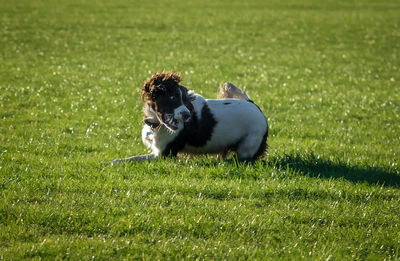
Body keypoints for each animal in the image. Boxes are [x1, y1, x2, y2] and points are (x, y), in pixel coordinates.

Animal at [111, 71, 268, 165]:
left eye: (185, 100)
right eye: (173, 97)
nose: (187, 115)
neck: (157, 124)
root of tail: (255, 106)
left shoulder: (164, 154)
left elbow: (132, 158)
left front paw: (113, 162)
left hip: (248, 145)